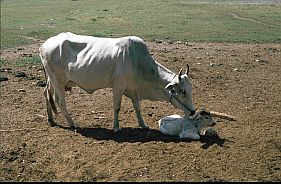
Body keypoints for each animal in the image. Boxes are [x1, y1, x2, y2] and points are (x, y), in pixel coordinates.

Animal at [39, 32, 195, 132]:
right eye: (183, 91)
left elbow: (138, 107)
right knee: (60, 102)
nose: (193, 111)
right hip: (58, 82)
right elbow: (117, 107)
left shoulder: (133, 90)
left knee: (46, 94)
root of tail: (45, 44)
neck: (139, 64)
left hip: (52, 81)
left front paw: (143, 124)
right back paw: (73, 124)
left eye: (190, 89)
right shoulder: (118, 87)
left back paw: (51, 120)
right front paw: (116, 127)